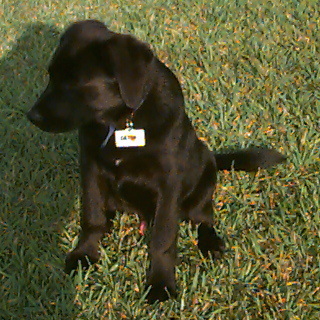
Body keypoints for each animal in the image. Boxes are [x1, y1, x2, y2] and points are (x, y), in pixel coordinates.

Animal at [26, 20, 284, 302]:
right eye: (51, 76)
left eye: (73, 84)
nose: (31, 116)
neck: (123, 121)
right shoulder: (91, 167)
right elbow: (92, 216)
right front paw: (85, 254)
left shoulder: (168, 183)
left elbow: (163, 238)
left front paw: (161, 282)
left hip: (204, 178)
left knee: (203, 218)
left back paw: (210, 242)